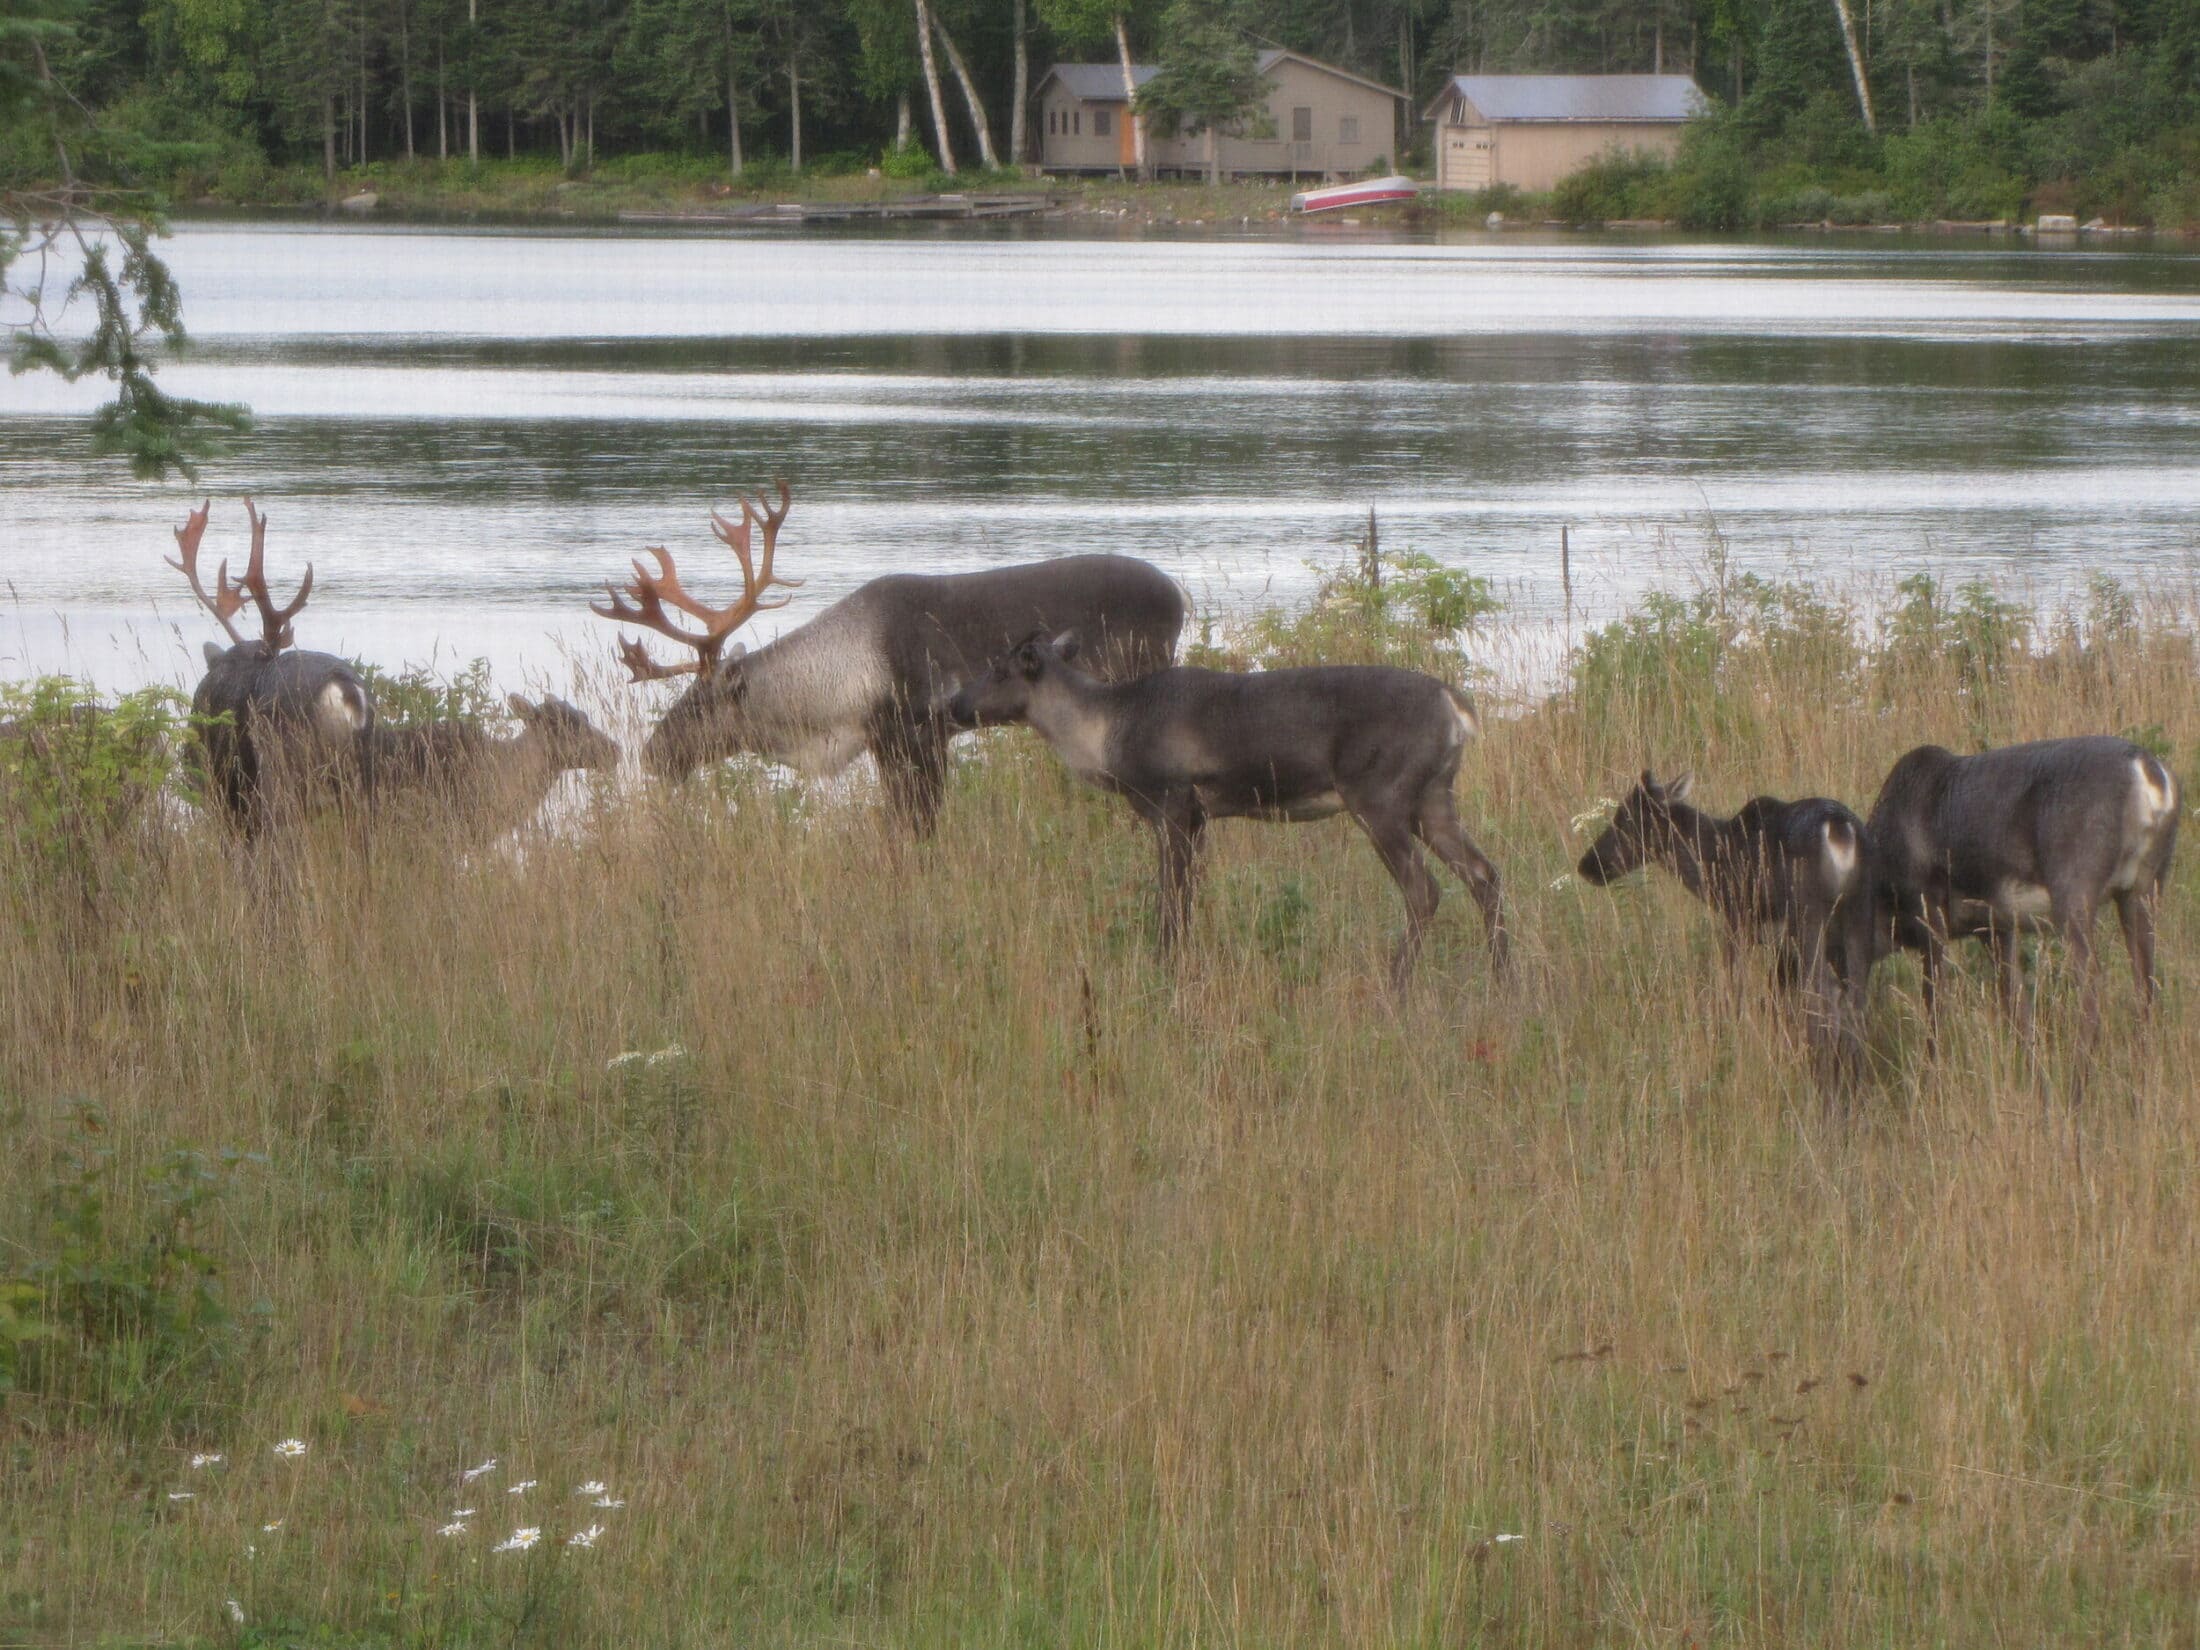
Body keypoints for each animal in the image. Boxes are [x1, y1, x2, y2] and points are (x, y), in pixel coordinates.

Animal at [937, 638, 1504, 990]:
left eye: (999, 668)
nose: (953, 705)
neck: (1103, 736)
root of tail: (1457, 709)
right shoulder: (1198, 818)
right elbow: (1187, 900)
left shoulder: (1170, 801)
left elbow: (1169, 899)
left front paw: (1165, 967)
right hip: (1433, 797)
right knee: (1485, 874)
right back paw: (1506, 982)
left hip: (1379, 795)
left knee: (1424, 889)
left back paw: (1397, 984)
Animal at [1584, 778, 1874, 1091]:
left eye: (1626, 820)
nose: (1588, 865)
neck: (1713, 865)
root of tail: (1841, 831)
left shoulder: (1737, 921)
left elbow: (1732, 989)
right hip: (1859, 915)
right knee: (1854, 999)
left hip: (1808, 916)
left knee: (1825, 995)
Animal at [1865, 734, 2173, 1060]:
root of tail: (2150, 773)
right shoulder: (1994, 927)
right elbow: (2017, 1010)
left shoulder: (1930, 916)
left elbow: (1934, 1013)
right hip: (2142, 889)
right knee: (2146, 987)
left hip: (2074, 892)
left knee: (2093, 993)